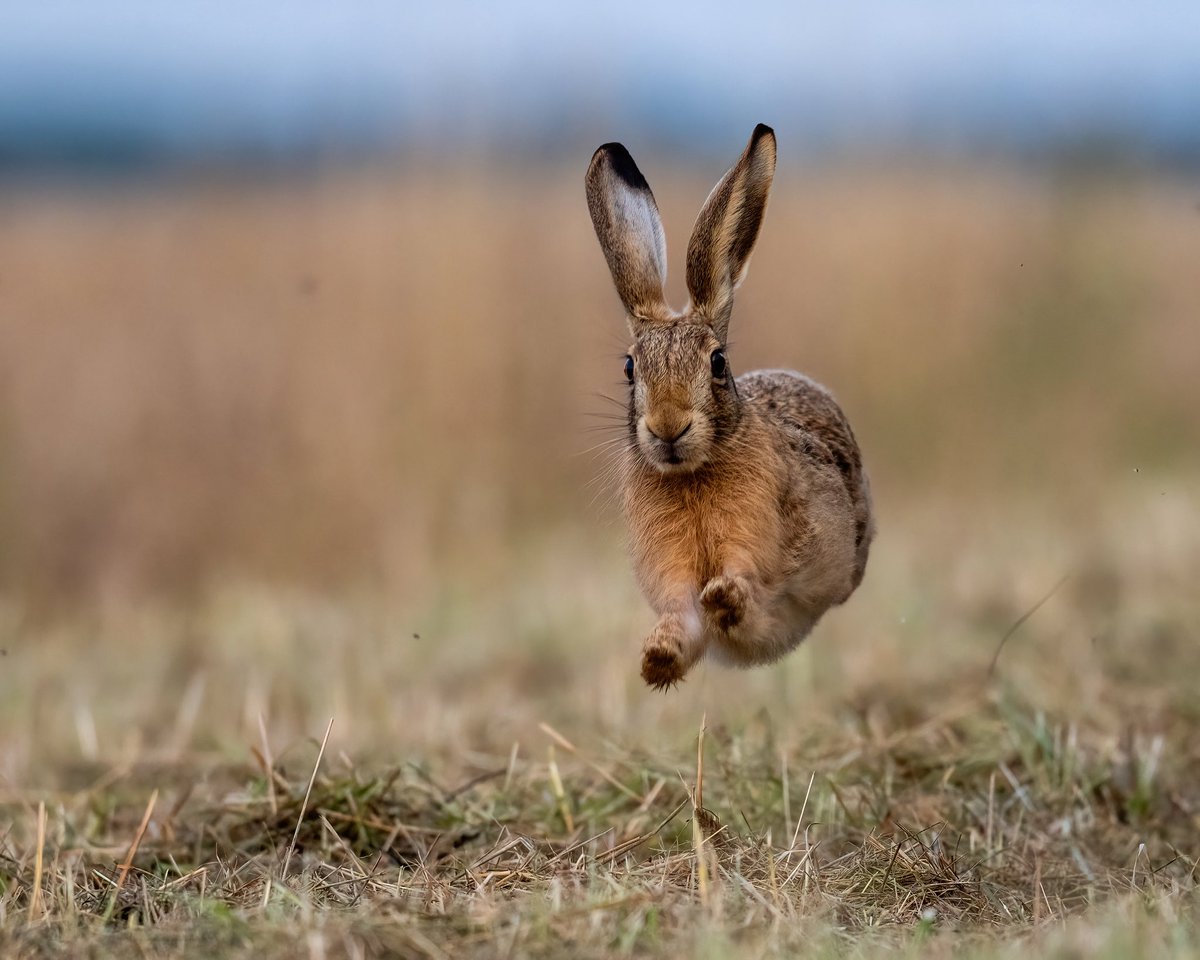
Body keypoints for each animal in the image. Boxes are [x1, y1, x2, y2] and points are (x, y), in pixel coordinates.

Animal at [585, 124, 875, 690]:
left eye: (717, 362)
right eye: (630, 369)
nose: (668, 426)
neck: (693, 474)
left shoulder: (764, 545)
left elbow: (752, 585)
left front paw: (724, 596)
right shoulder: (672, 574)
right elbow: (683, 615)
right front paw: (658, 655)